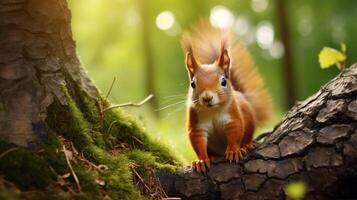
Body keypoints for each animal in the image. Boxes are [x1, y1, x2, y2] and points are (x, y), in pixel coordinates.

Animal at [182, 21, 272, 173]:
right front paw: (201, 160)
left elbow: (235, 133)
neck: (212, 111)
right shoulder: (196, 124)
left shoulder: (233, 117)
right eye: (192, 84)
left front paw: (234, 151)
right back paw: (212, 156)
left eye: (223, 81)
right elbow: (198, 142)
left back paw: (246, 145)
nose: (207, 98)